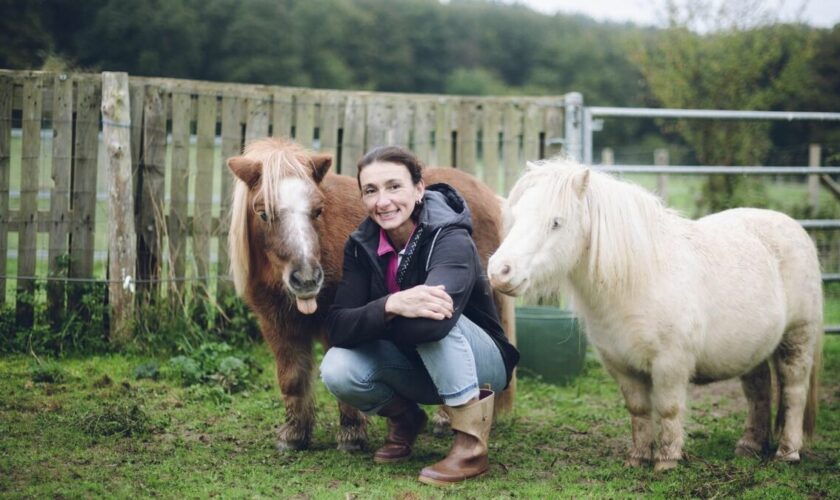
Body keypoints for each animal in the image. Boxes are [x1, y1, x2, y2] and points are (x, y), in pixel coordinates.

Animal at [488, 161, 824, 472]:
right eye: (517, 216)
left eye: (556, 222)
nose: (499, 272)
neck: (638, 279)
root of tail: (795, 229)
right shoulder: (621, 365)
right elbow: (638, 410)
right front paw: (637, 458)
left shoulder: (670, 364)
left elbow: (667, 409)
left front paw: (666, 461)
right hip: (752, 349)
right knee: (758, 391)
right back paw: (750, 446)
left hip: (797, 338)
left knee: (794, 391)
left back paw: (787, 452)